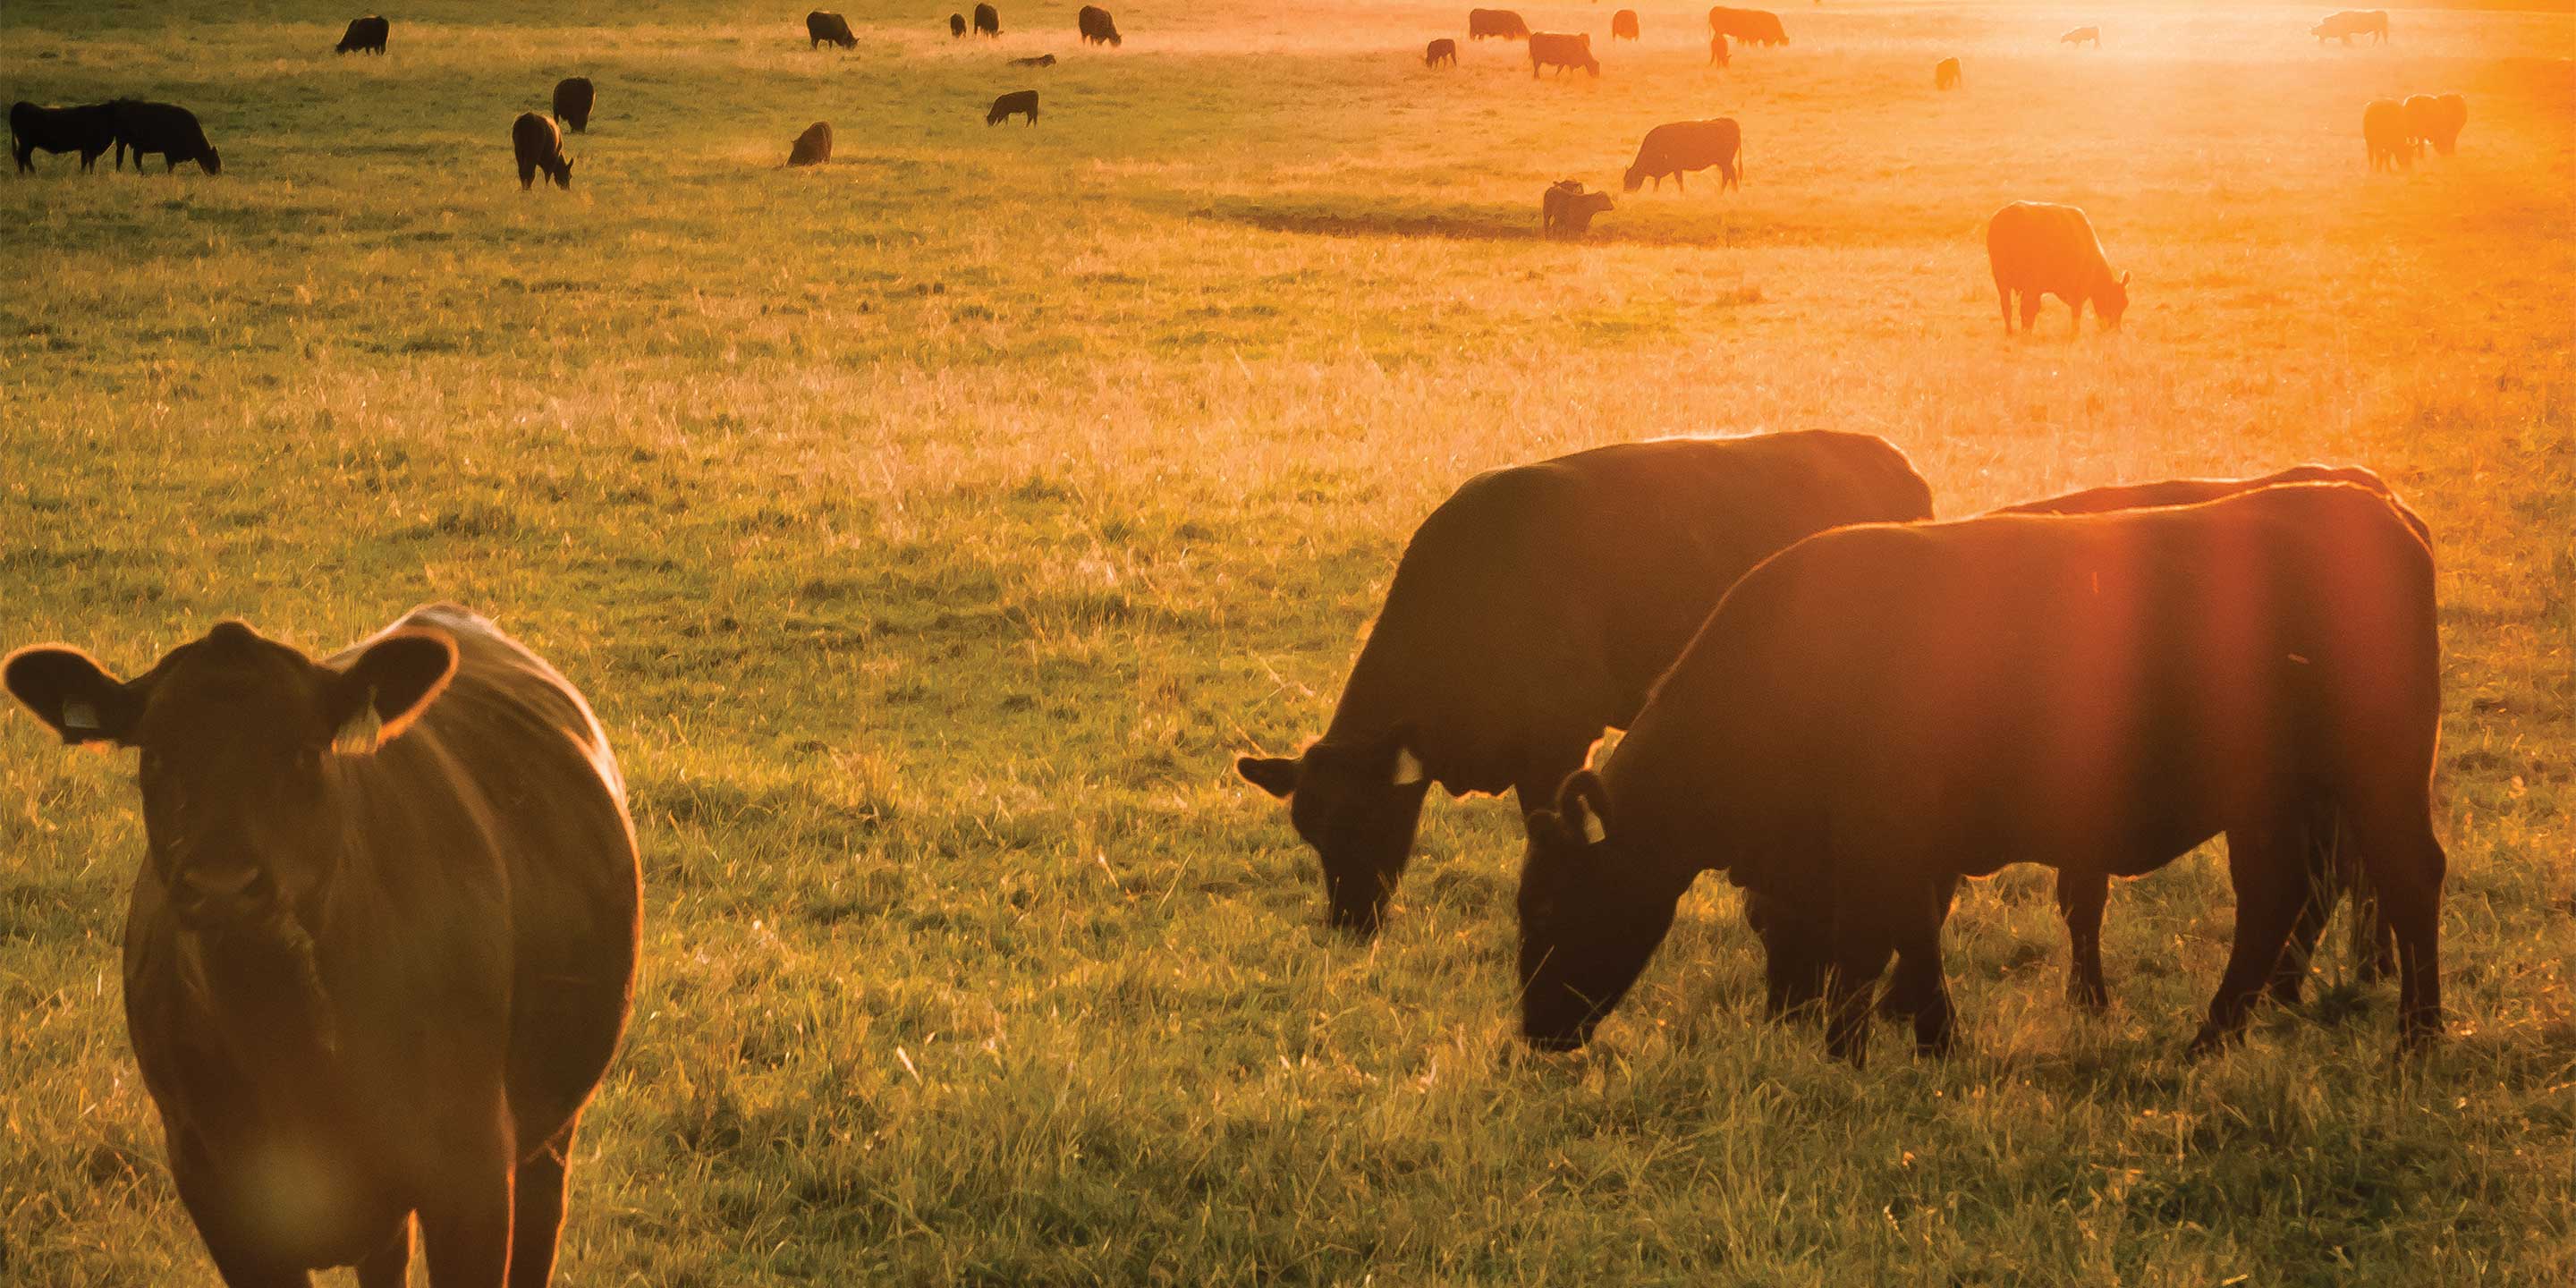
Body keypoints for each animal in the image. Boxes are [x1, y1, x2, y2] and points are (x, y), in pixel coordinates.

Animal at [2, 605, 644, 1288]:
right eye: (156, 756)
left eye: (306, 752)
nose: (222, 884)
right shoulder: (218, 1188)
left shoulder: (471, 1174)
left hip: (549, 1129)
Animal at [1514, 484, 2442, 1066]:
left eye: (1552, 907)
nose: (1533, 1030)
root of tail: (2383, 511)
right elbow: (1884, 945)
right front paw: (1869, 1045)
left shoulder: (1893, 841)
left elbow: (1897, 940)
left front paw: (1912, 1045)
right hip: (2273, 800)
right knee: (2274, 903)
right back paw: (2210, 1041)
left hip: (2381, 777)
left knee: (2406, 881)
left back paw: (2417, 1039)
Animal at [1617, 119, 1741, 193]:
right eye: (1625, 179)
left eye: (1630, 178)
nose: (1626, 191)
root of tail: (1730, 121)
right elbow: (1657, 183)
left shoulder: (1677, 168)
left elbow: (1679, 182)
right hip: (1724, 163)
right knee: (1732, 175)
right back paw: (1734, 191)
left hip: (1725, 162)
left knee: (1727, 176)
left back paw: (1721, 193)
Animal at [1988, 200, 2132, 337]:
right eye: (2118, 302)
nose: (2116, 331)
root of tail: (2010, 213)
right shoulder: (2079, 291)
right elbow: (2076, 314)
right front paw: (2074, 334)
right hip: (2030, 282)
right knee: (2026, 307)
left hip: (2001, 279)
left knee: (2008, 307)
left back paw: (2011, 333)